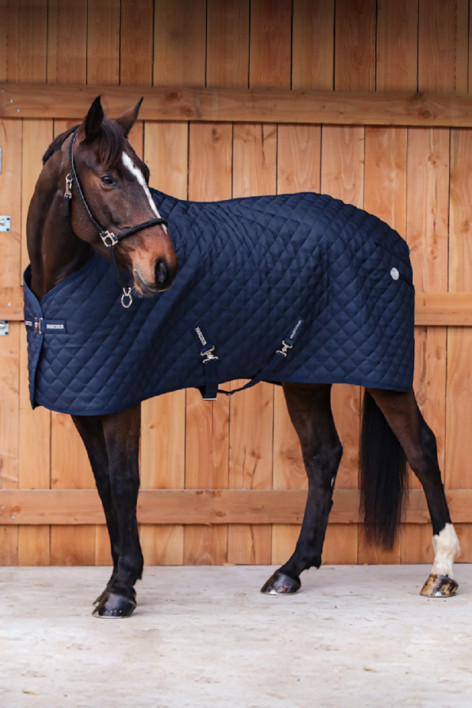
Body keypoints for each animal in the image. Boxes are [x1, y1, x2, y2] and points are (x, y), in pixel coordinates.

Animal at [25, 96, 461, 618]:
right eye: (108, 178)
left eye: (144, 173)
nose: (163, 268)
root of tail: (391, 241)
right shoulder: (88, 404)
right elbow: (105, 486)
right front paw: (115, 581)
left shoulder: (120, 400)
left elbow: (125, 482)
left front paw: (121, 589)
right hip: (305, 376)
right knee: (323, 456)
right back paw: (291, 570)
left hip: (383, 377)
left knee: (421, 448)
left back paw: (441, 572)